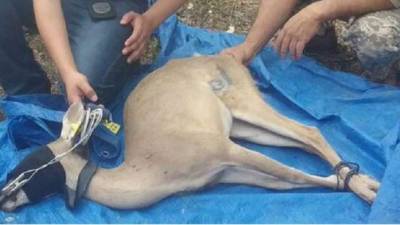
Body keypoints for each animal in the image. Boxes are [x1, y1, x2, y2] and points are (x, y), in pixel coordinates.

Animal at [0, 55, 380, 212]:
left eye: (25, 169)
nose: (3, 198)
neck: (152, 170)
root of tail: (219, 54)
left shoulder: (224, 151)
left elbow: (291, 172)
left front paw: (368, 192)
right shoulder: (227, 172)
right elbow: (290, 181)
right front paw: (344, 185)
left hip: (243, 105)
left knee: (310, 129)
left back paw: (368, 184)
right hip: (242, 125)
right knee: (305, 135)